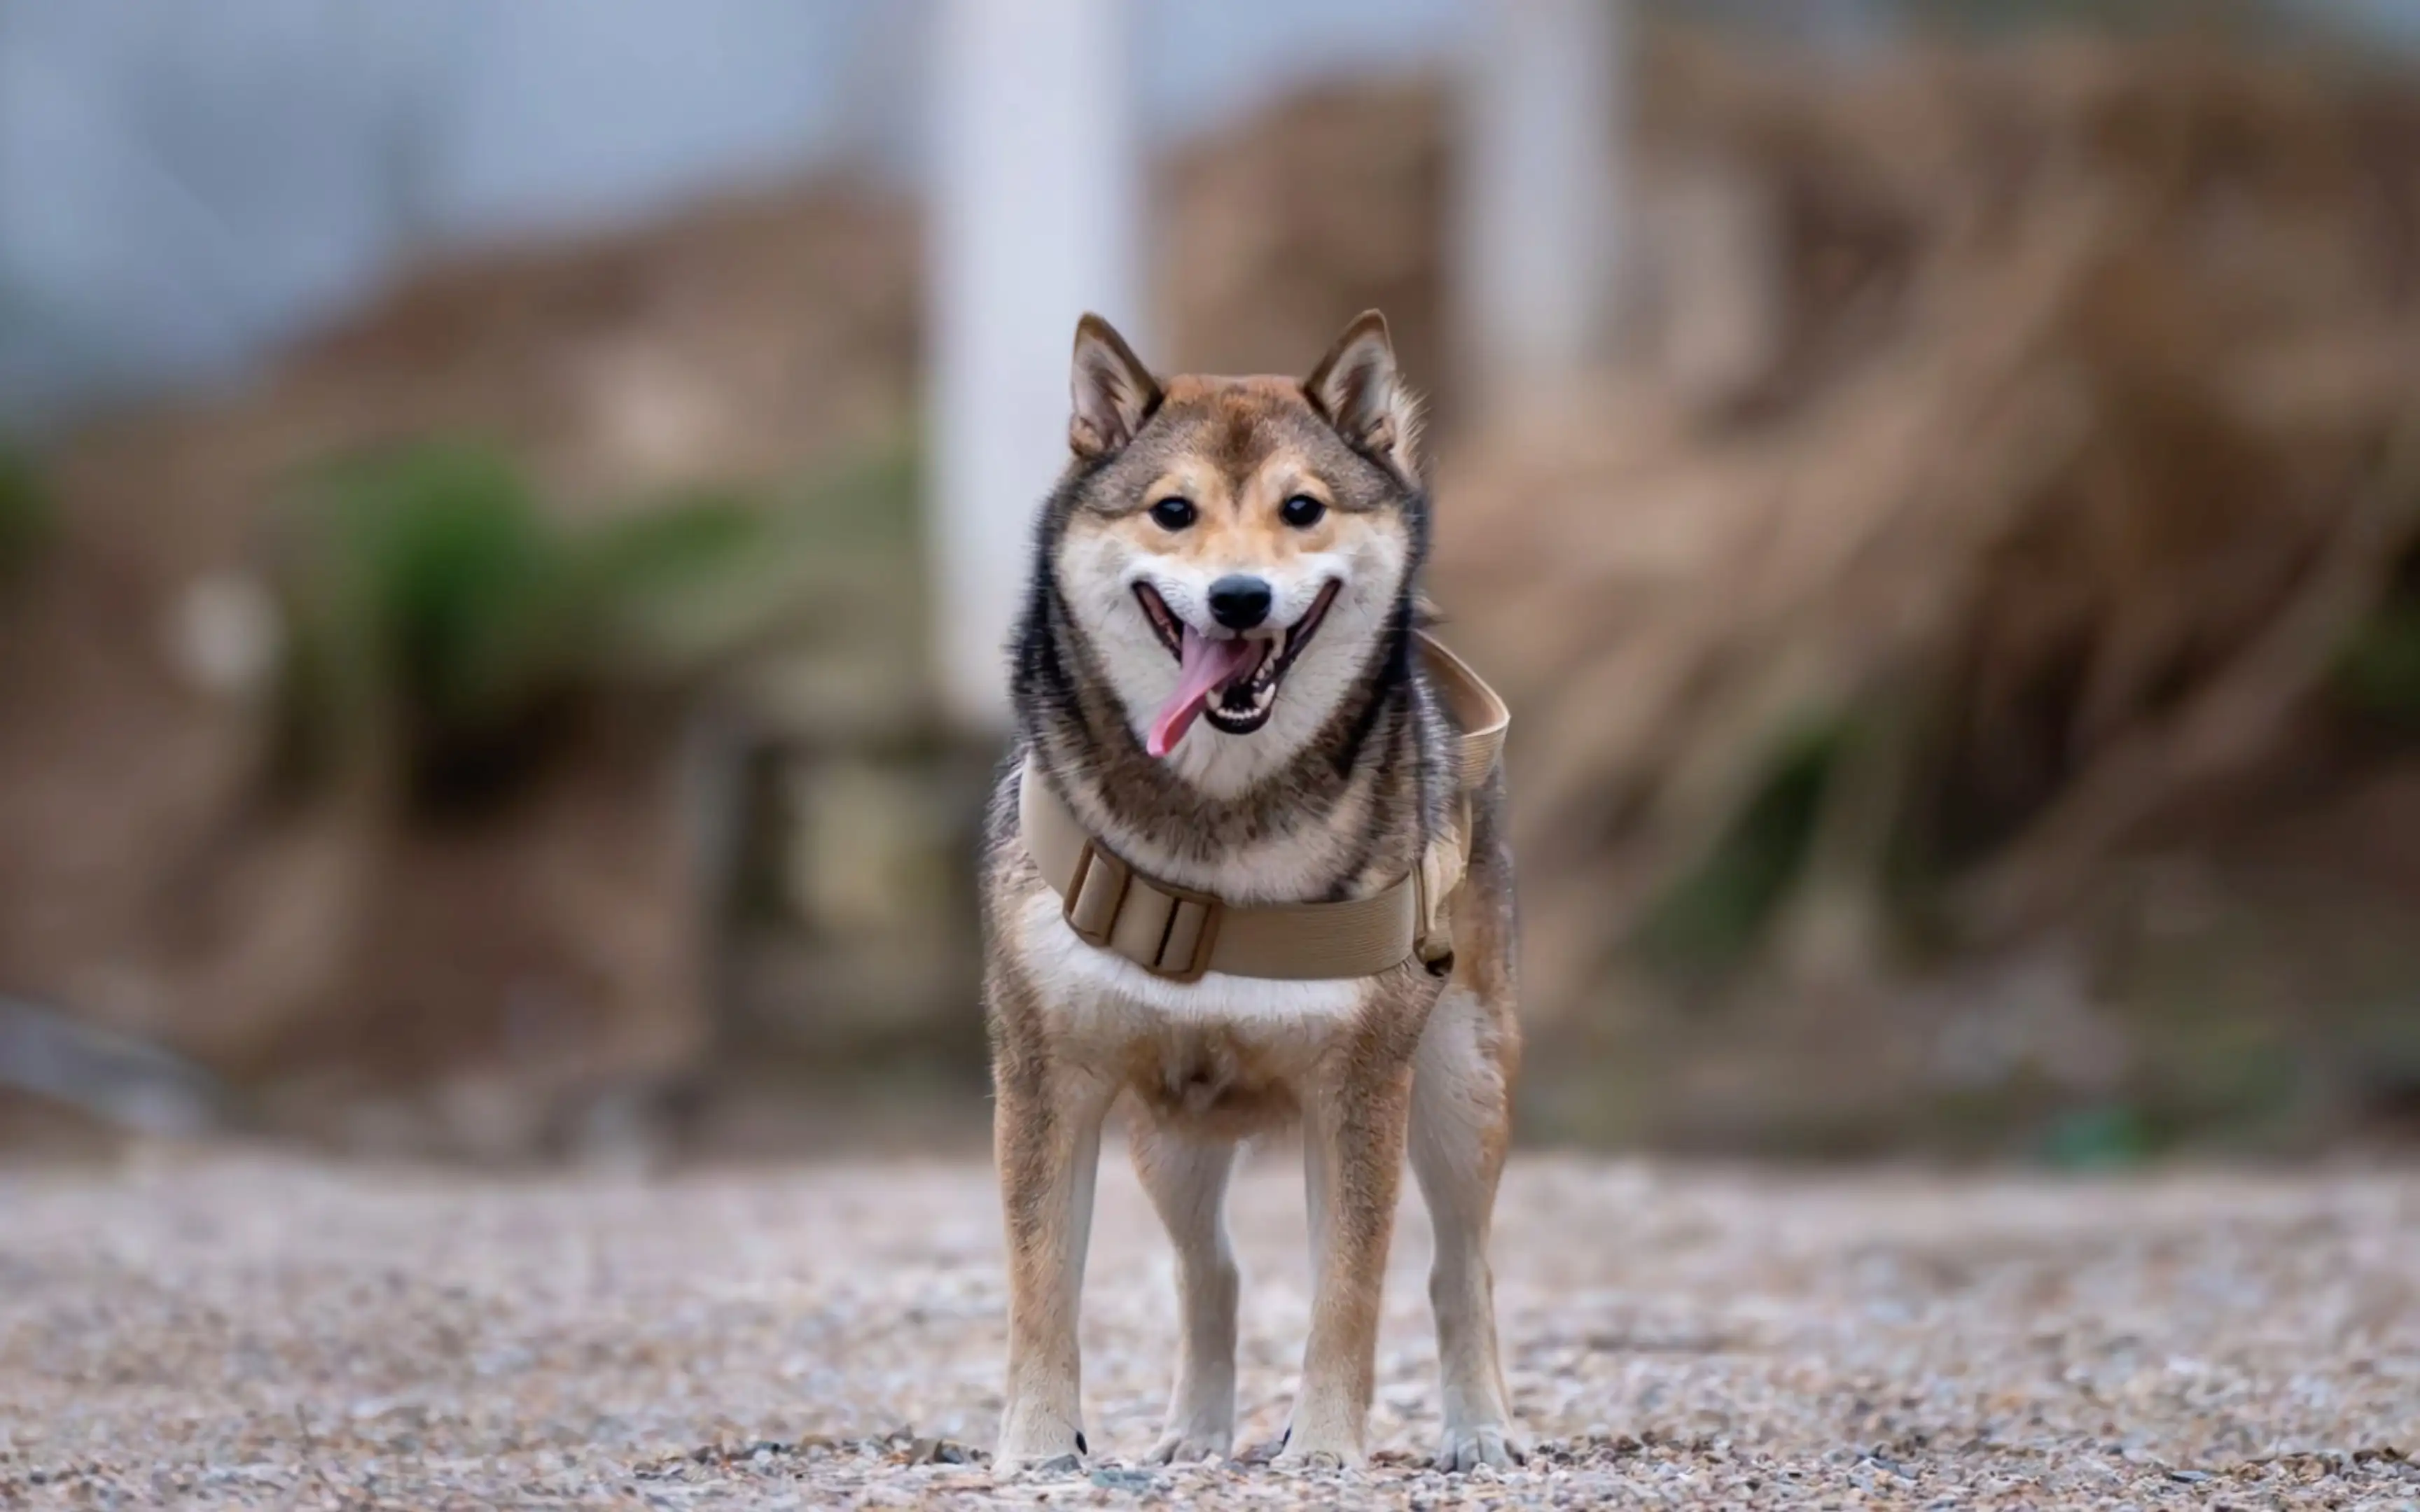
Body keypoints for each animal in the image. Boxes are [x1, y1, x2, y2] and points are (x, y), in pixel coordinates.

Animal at [978, 309, 1510, 1471]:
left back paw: (1481, 1429)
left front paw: (1324, 1448)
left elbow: (1348, 1293)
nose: (1238, 597)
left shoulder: (1358, 1088)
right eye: (1173, 511)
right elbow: (1041, 1282)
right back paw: (1194, 1434)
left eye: (1301, 509)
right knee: (1209, 1269)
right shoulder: (1047, 1076)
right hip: (1173, 1131)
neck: (1215, 841)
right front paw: (1038, 1446)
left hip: (1461, 1085)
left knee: (1458, 1267)